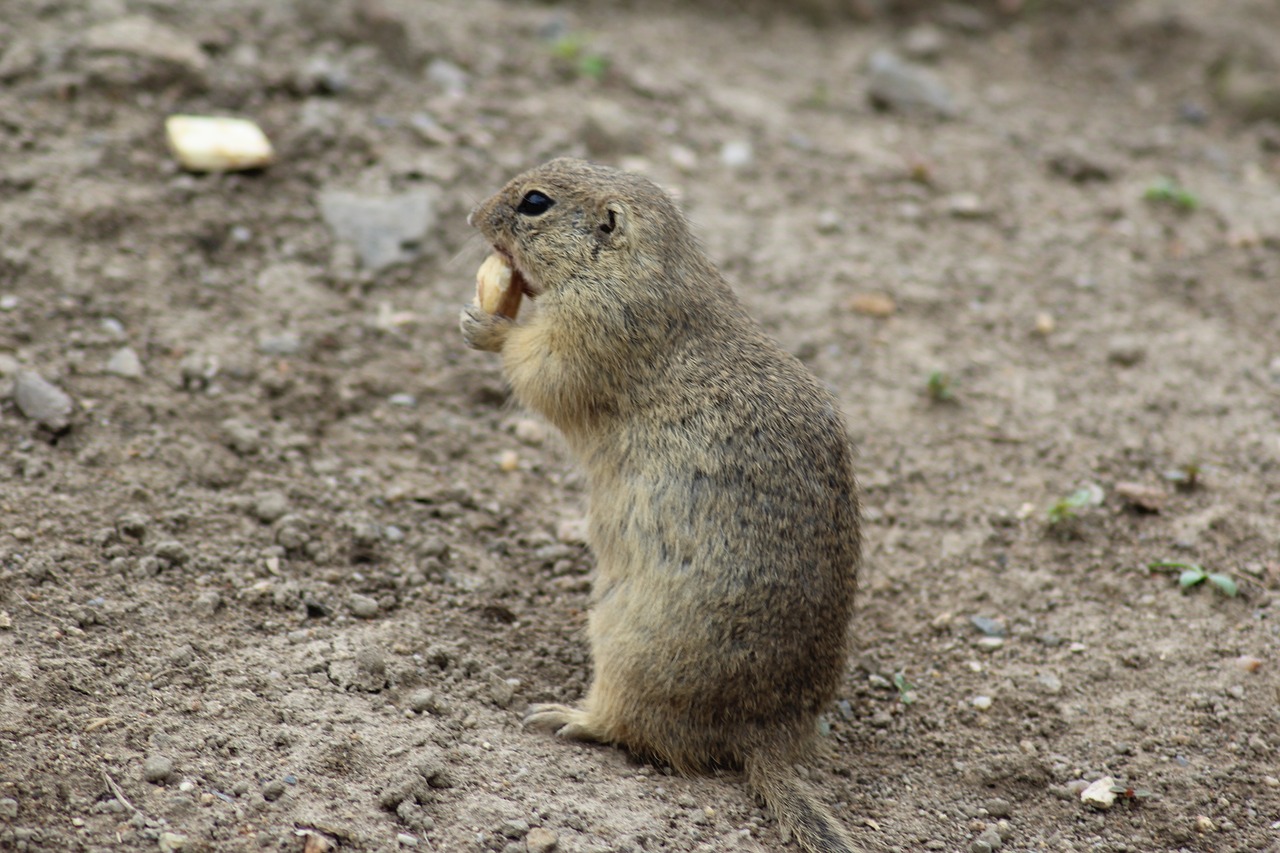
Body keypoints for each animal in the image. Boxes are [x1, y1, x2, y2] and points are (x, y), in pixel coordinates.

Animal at [460, 156, 860, 845]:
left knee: (630, 727)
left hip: (626, 646)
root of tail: (762, 736)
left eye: (534, 202)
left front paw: (485, 325)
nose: (472, 216)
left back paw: (565, 716)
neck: (642, 267)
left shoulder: (593, 328)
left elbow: (538, 367)